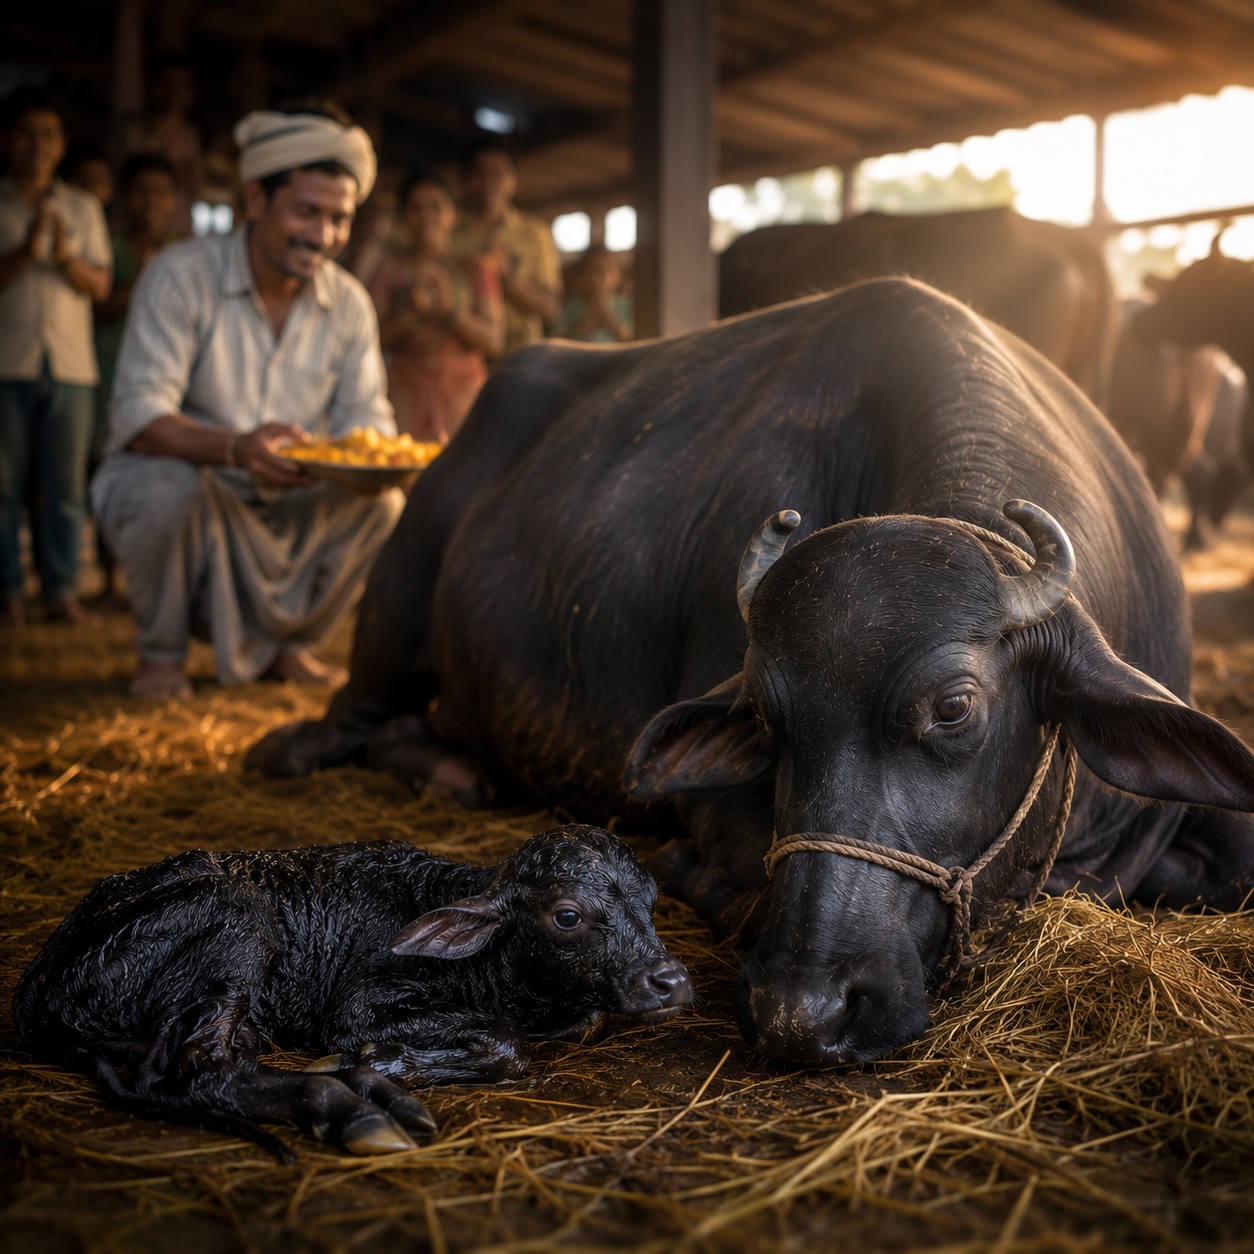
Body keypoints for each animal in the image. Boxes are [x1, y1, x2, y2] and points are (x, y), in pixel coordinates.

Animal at [15, 825, 691, 1158]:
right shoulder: (359, 1008)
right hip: (237, 924)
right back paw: (350, 1106)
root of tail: (43, 974)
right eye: (568, 916)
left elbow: (586, 1019)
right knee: (201, 1066)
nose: (672, 981)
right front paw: (380, 1058)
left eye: (653, 901)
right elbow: (507, 1042)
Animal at [1107, 300, 1248, 549]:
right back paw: (1195, 538)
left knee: (1160, 478)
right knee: (1198, 473)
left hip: (1157, 429)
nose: (1218, 520)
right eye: (1233, 487)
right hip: (1186, 430)